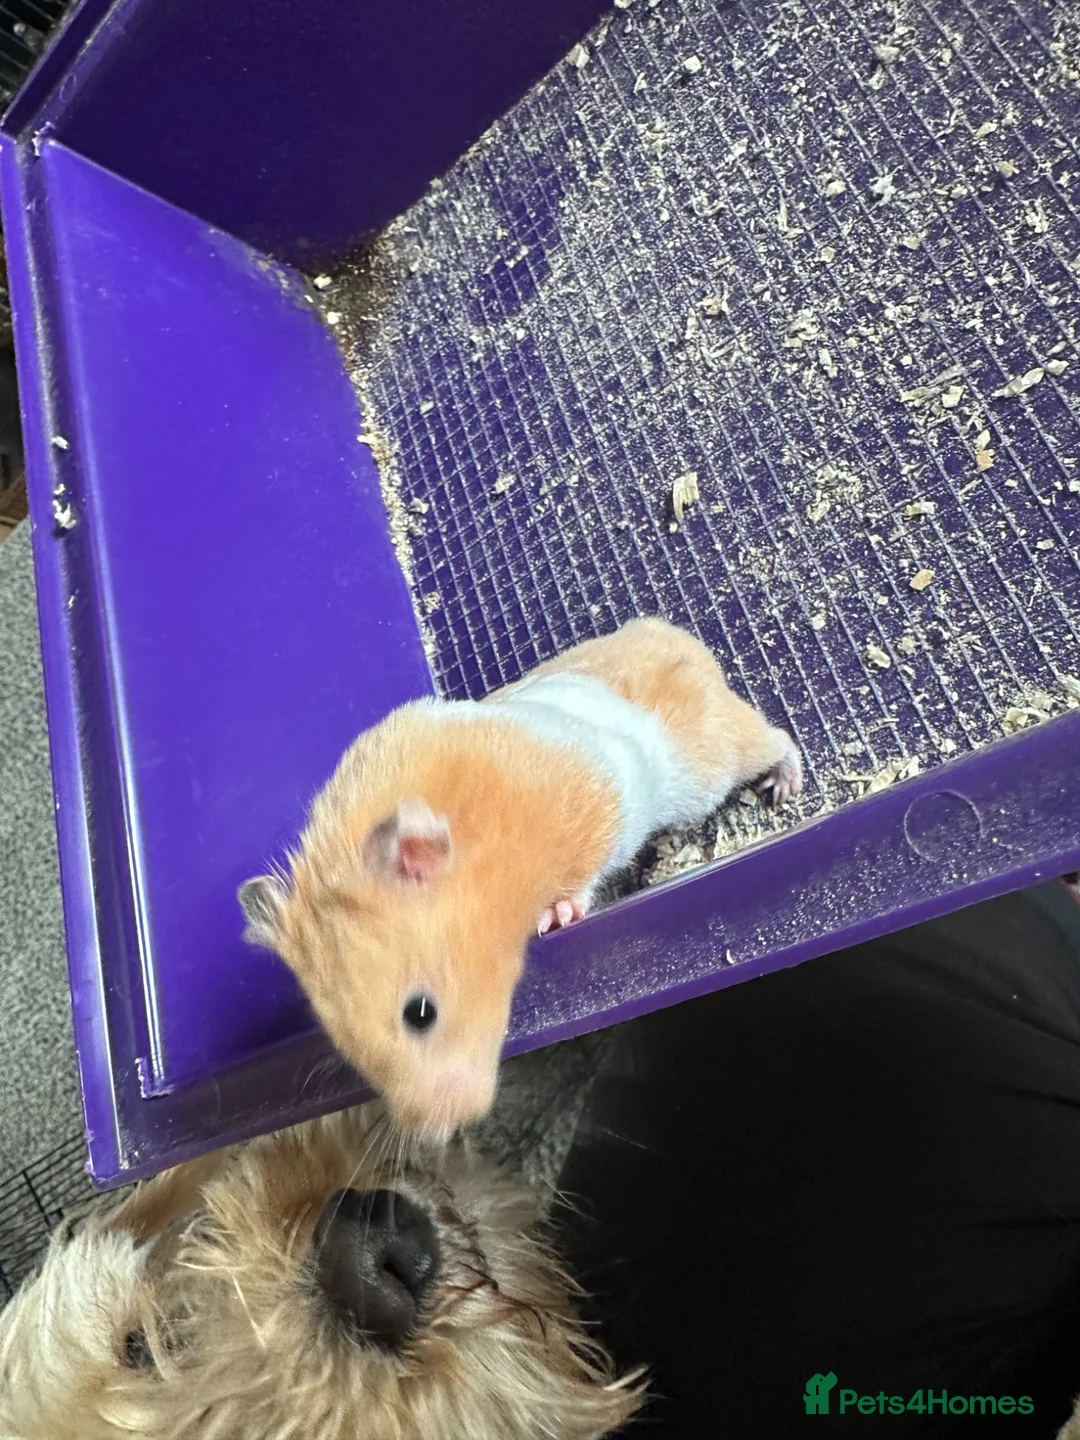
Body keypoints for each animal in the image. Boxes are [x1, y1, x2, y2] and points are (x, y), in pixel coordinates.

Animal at [239, 617, 802, 1137]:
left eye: (420, 1013)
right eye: (345, 1047)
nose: (439, 1135)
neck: (484, 854)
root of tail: (672, 632)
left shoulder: (594, 810)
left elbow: (583, 875)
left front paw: (556, 917)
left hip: (711, 763)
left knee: (775, 738)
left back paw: (783, 785)